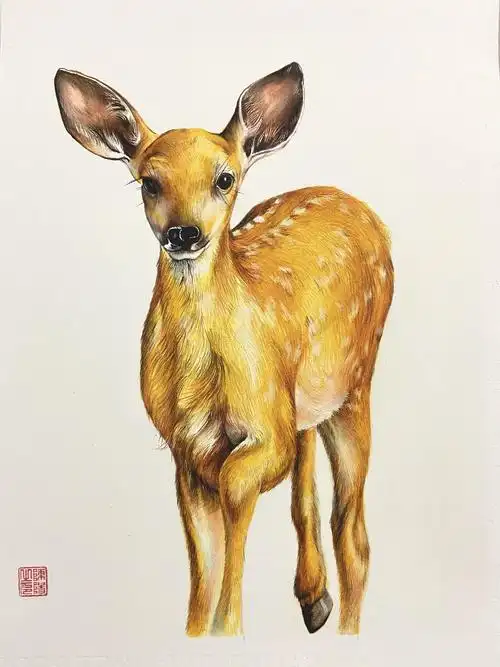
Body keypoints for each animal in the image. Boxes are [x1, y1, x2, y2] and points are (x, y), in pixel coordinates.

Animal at [54, 61, 394, 638]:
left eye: (224, 178)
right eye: (149, 181)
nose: (183, 232)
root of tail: (358, 206)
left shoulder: (262, 432)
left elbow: (237, 487)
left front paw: (229, 625)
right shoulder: (186, 450)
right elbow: (203, 569)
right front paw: (202, 630)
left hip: (355, 382)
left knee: (355, 536)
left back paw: (343, 620)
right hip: (306, 398)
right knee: (308, 491)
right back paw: (313, 598)